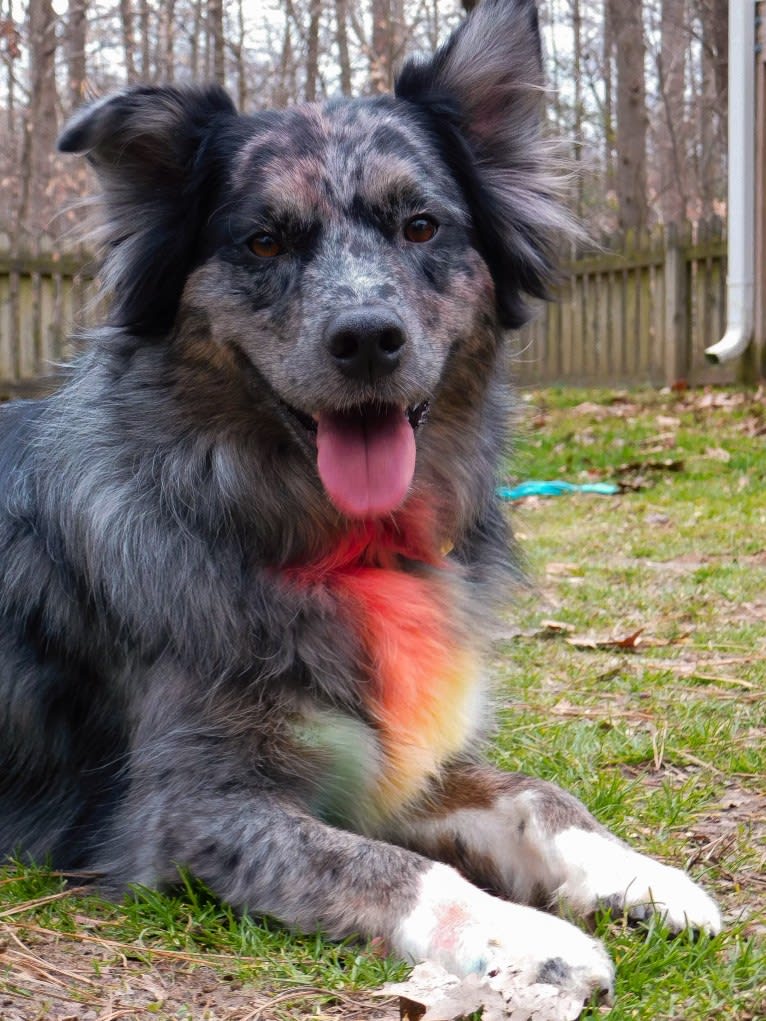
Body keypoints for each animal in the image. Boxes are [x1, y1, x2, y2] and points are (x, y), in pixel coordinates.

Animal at [0, 0, 719, 1004]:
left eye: (421, 226)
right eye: (263, 241)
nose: (367, 337)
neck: (330, 543)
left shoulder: (390, 760)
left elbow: (532, 791)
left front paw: (640, 875)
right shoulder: (189, 812)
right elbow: (399, 869)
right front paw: (529, 937)